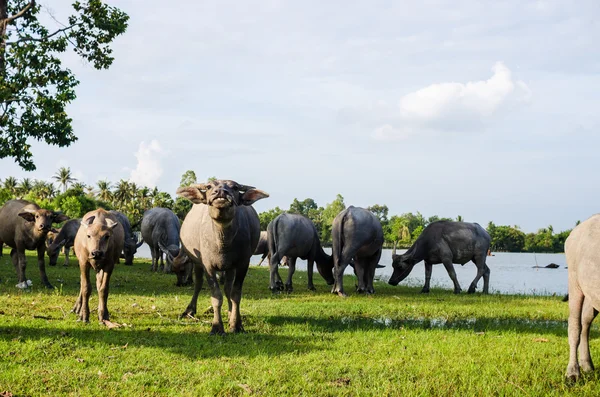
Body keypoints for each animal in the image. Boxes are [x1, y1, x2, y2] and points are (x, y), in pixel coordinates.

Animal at [177, 179, 268, 334]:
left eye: (235, 187)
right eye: (209, 187)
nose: (220, 192)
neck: (223, 242)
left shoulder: (243, 264)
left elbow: (235, 294)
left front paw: (236, 324)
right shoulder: (208, 266)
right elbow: (216, 297)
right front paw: (217, 326)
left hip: (230, 268)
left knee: (228, 289)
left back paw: (232, 314)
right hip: (197, 263)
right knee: (198, 284)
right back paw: (189, 310)